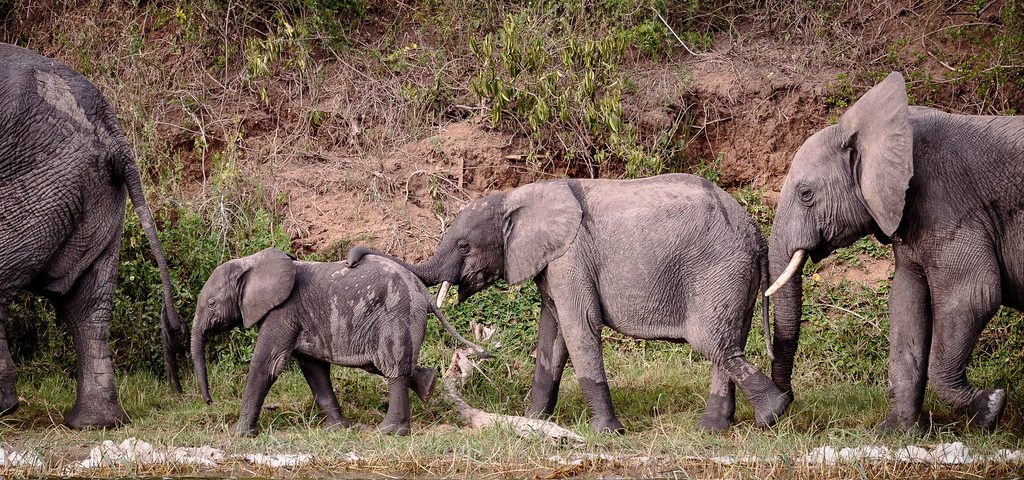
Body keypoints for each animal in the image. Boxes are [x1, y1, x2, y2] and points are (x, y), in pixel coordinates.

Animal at [191, 247, 489, 436]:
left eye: (212, 303)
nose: (209, 402)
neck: (251, 262)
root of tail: (422, 292)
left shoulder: (283, 312)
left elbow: (267, 365)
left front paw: (238, 434)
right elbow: (314, 369)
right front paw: (338, 429)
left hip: (397, 314)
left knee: (392, 367)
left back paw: (389, 432)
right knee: (388, 365)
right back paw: (428, 386)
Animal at [347, 173, 792, 433]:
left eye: (463, 246)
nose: (352, 258)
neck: (517, 195)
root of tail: (755, 232)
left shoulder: (571, 256)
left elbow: (580, 327)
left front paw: (607, 433)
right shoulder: (554, 264)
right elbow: (553, 333)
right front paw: (532, 422)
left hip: (720, 270)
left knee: (712, 342)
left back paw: (774, 413)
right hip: (733, 278)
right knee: (727, 343)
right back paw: (715, 428)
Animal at [766, 71, 1024, 432]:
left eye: (806, 194)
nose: (785, 406)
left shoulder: (949, 204)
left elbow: (974, 294)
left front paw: (991, 409)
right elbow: (906, 301)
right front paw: (894, 432)